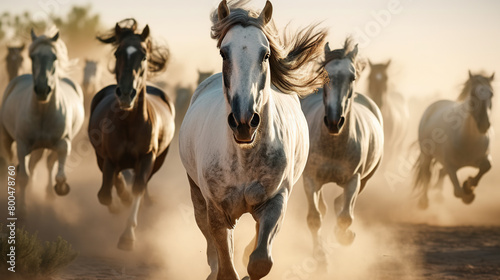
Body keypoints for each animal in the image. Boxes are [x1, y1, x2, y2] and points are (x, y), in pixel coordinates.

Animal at [0, 28, 84, 215]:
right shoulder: (22, 144)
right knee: (17, 162)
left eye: (54, 57)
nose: (42, 90)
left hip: (43, 147)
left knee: (46, 163)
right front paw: (22, 210)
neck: (43, 111)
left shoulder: (63, 143)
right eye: (32, 57)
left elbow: (59, 174)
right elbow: (23, 176)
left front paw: (60, 188)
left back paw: (47, 194)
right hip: (9, 139)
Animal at [89, 19, 175, 252]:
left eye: (143, 56)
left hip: (159, 160)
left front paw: (127, 236)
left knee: (143, 184)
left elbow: (138, 187)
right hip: (100, 157)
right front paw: (121, 203)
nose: (126, 94)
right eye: (118, 53)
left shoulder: (147, 157)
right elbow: (105, 194)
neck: (129, 123)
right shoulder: (108, 158)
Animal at [178, 1, 326, 278]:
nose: (244, 121)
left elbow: (259, 261)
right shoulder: (217, 210)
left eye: (265, 55)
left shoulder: (275, 201)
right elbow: (226, 266)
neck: (243, 157)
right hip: (197, 196)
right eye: (224, 53)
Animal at [300, 38, 382, 270]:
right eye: (324, 73)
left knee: (340, 204)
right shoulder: (310, 179)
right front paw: (321, 259)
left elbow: (345, 217)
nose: (334, 121)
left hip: (366, 178)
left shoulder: (354, 180)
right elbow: (315, 218)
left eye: (352, 77)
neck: (334, 143)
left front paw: (345, 236)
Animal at [414, 71, 492, 209]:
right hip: (426, 154)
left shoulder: (482, 158)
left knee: (440, 172)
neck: (468, 140)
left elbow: (486, 166)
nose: (484, 125)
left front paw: (469, 185)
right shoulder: (450, 165)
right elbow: (458, 192)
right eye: (473, 93)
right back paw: (424, 201)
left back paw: (438, 195)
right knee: (427, 174)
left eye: (491, 94)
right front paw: (468, 193)